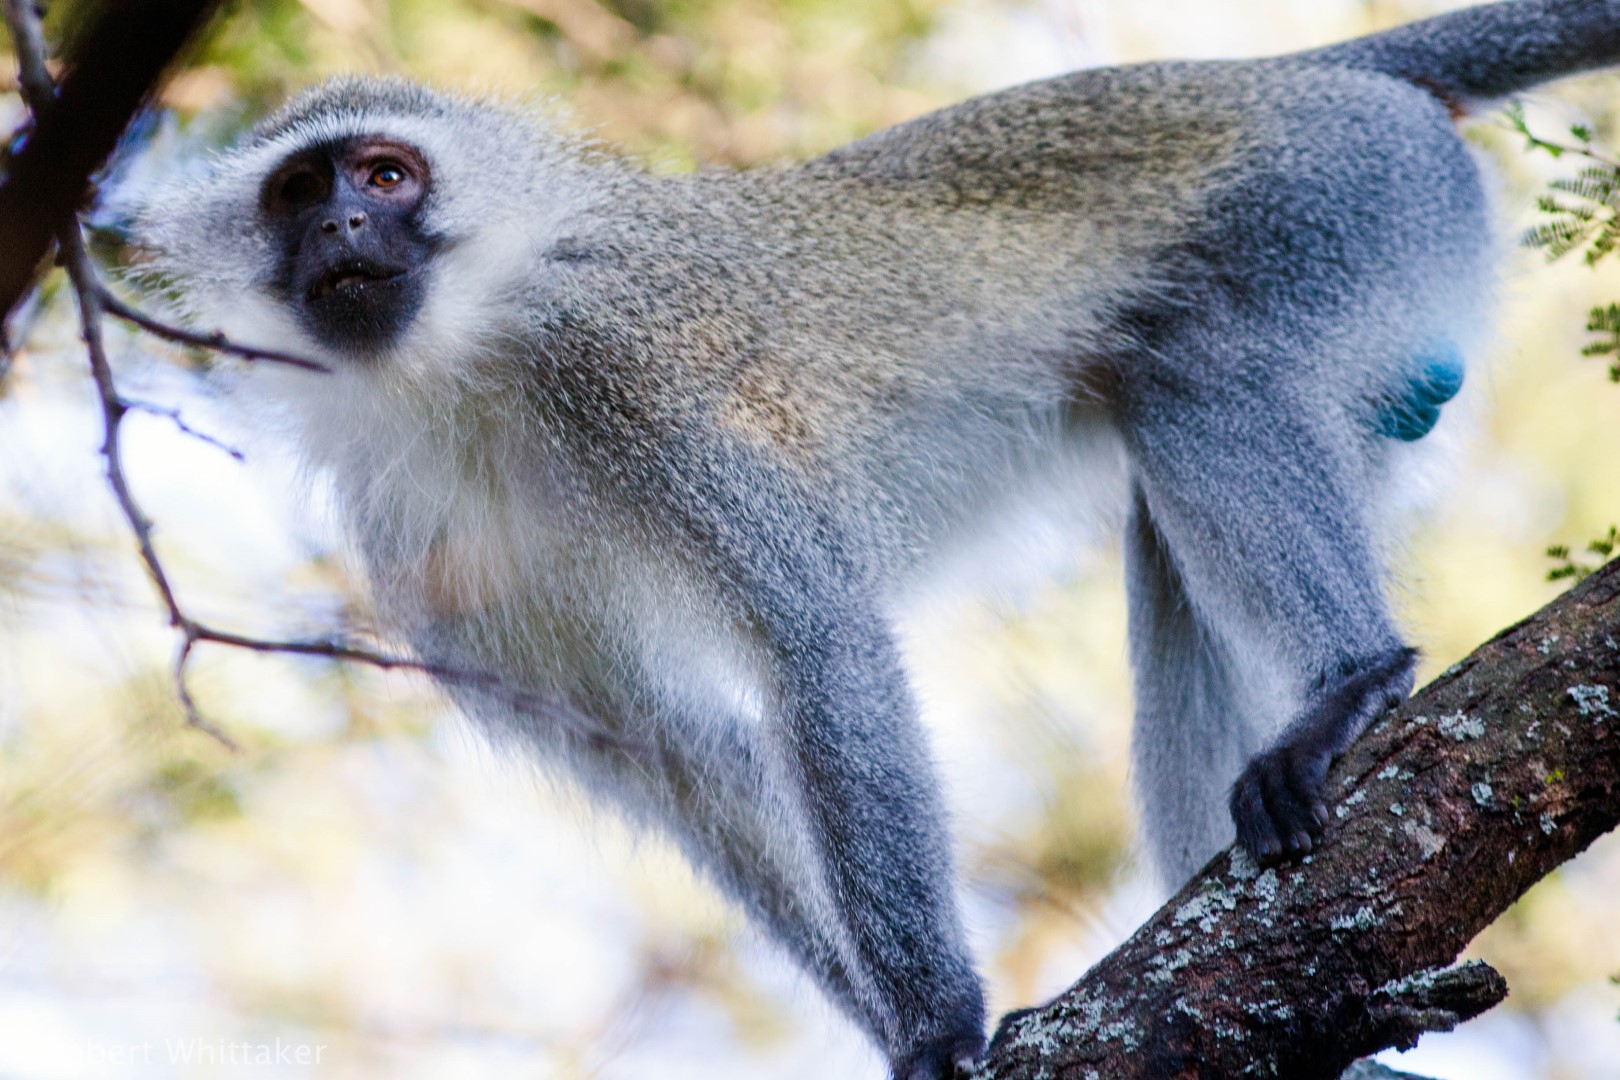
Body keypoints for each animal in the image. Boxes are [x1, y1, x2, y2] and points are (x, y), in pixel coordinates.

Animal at [136, 4, 1620, 1075]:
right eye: (301, 195)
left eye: (388, 175)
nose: (344, 221)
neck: (466, 361)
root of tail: (1280, 73)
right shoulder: (420, 554)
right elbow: (687, 756)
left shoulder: (628, 367)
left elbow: (819, 642)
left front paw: (938, 1028)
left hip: (1345, 207)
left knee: (1201, 379)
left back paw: (1352, 683)